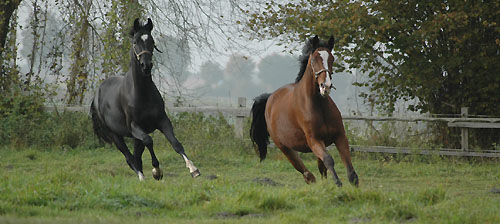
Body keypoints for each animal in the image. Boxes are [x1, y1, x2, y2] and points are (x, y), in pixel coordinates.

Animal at [91, 18, 200, 181]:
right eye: (135, 42)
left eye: (152, 41)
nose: (146, 65)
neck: (142, 94)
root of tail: (96, 96)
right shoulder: (135, 127)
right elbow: (149, 140)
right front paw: (157, 171)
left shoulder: (162, 120)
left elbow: (176, 143)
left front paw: (193, 169)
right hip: (115, 135)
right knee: (129, 157)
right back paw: (142, 177)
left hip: (134, 137)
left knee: (136, 156)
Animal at [252, 34, 358, 186]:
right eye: (313, 60)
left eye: (332, 58)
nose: (325, 86)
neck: (319, 105)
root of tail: (270, 97)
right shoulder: (314, 140)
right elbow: (328, 160)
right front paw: (338, 184)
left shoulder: (340, 136)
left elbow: (348, 165)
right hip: (284, 147)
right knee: (303, 169)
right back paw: (312, 179)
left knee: (318, 168)